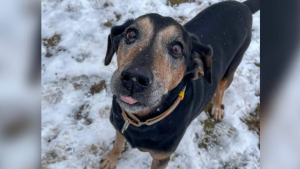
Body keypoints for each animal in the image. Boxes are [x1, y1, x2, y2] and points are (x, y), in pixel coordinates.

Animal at [101, 0, 260, 168]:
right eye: (131, 34)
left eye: (176, 48)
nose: (134, 78)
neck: (140, 121)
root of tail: (243, 6)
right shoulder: (119, 126)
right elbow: (118, 143)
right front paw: (111, 158)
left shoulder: (162, 157)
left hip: (230, 70)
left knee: (221, 89)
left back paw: (217, 108)